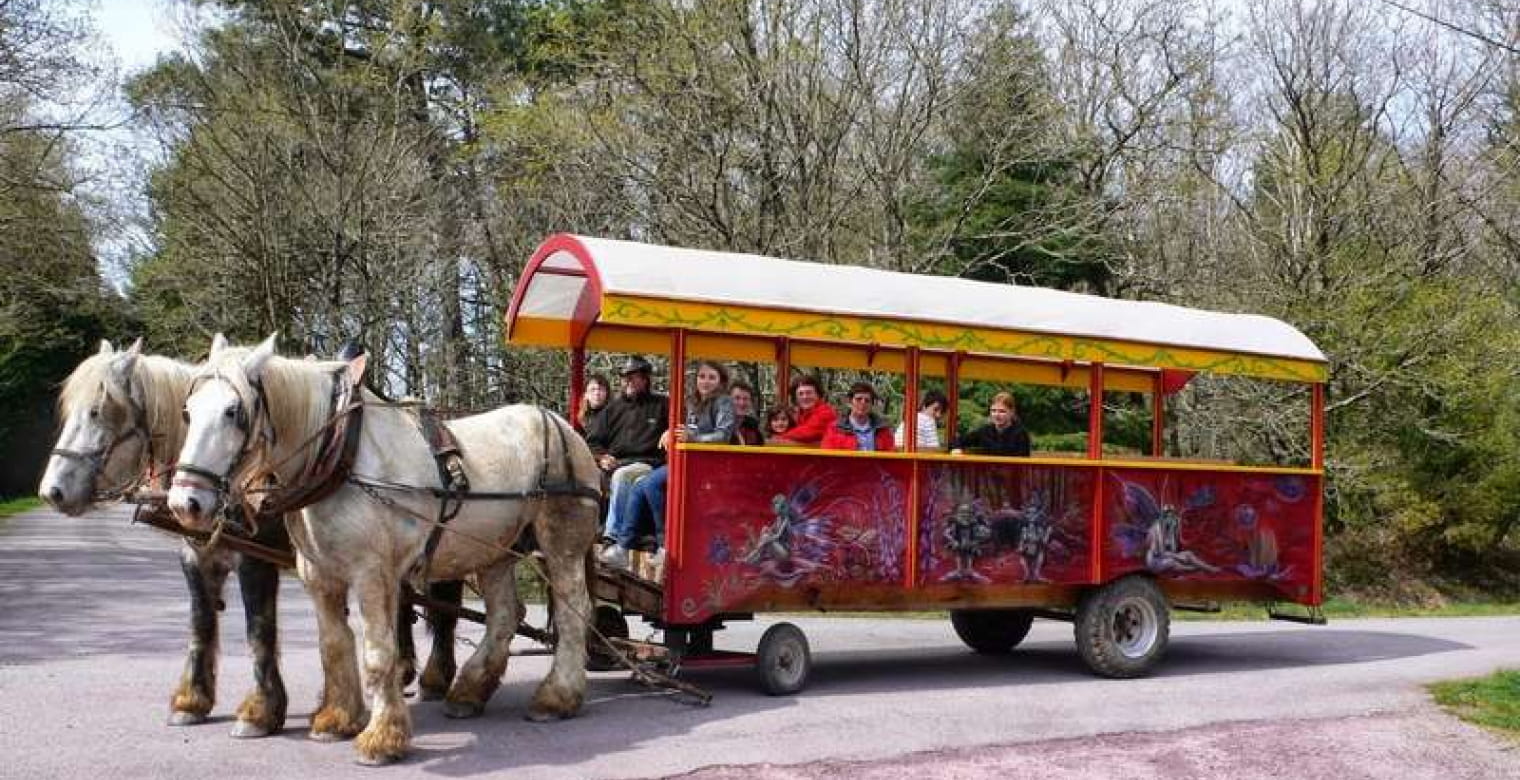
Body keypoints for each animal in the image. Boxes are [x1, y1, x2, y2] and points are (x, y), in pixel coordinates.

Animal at [164, 334, 592, 760]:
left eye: (233, 412)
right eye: (186, 412)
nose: (186, 503)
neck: (342, 460)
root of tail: (562, 427)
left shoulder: (372, 573)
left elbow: (378, 652)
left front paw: (382, 736)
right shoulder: (319, 575)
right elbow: (333, 645)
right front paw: (336, 719)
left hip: (561, 541)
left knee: (573, 610)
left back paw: (556, 697)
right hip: (496, 549)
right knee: (504, 615)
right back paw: (469, 692)